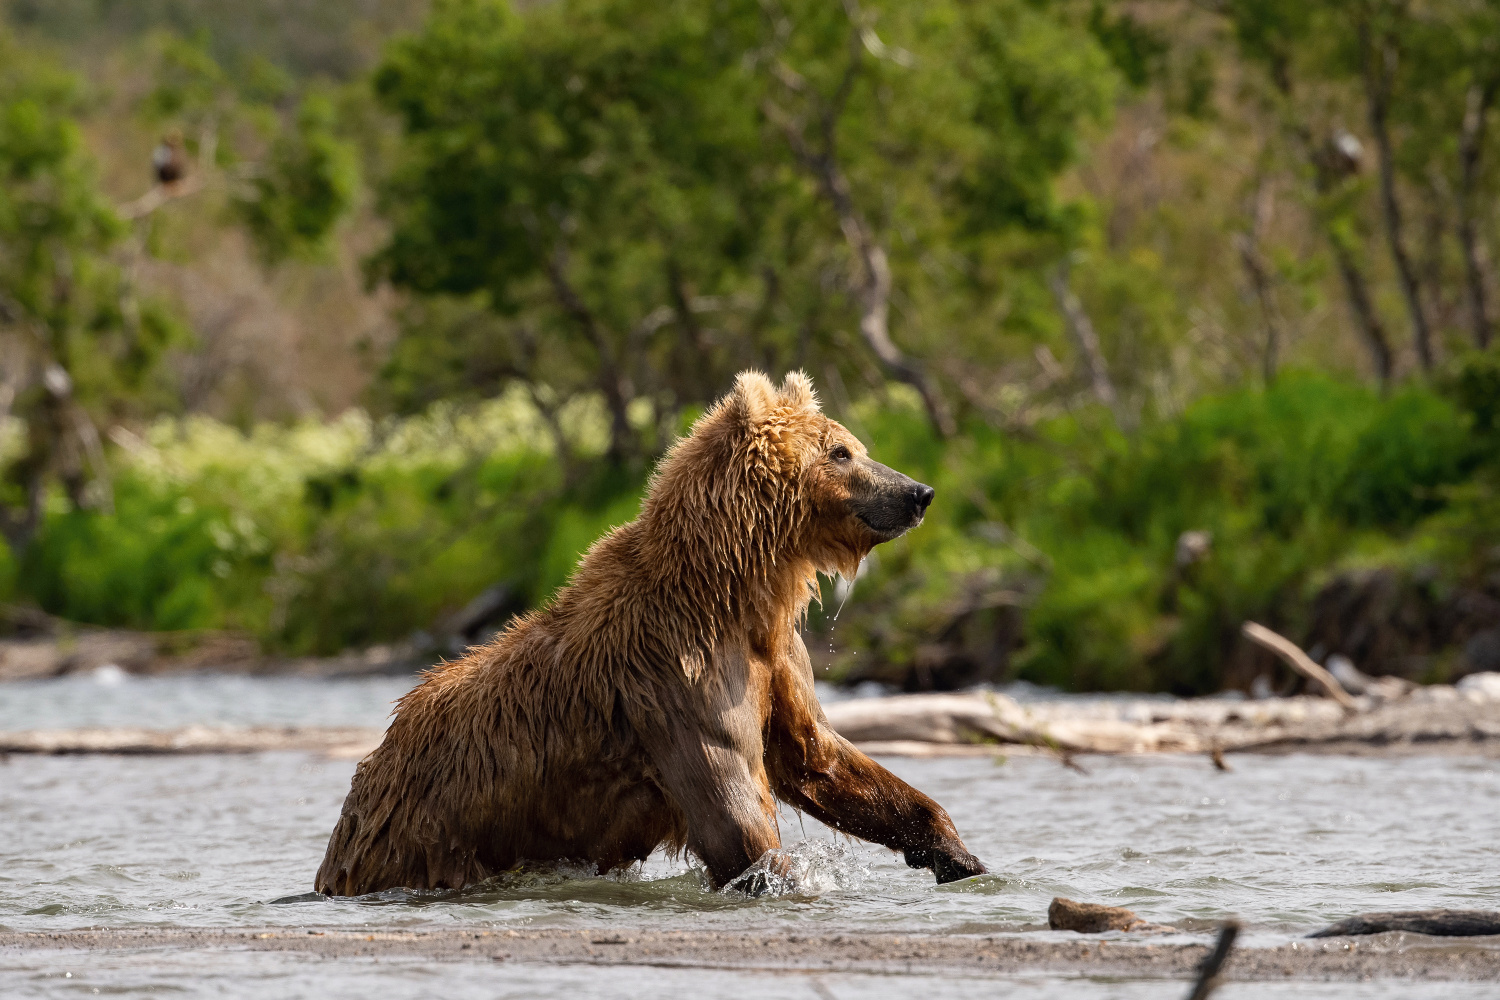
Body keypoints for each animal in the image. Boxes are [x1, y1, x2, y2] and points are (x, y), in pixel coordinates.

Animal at [315, 371, 990, 893]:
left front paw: (958, 854)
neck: (737, 593)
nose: (919, 491)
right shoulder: (678, 681)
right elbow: (737, 821)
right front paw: (786, 877)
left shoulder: (774, 661)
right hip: (423, 836)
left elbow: (819, 756)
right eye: (841, 453)